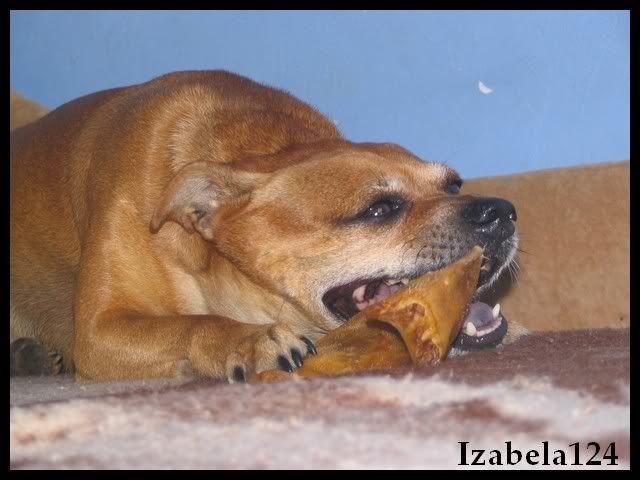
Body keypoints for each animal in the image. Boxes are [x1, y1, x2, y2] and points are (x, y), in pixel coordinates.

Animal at [10, 70, 525, 383]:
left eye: (454, 184)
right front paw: (249, 340)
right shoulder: (99, 332)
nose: (502, 211)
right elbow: (190, 323)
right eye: (379, 209)